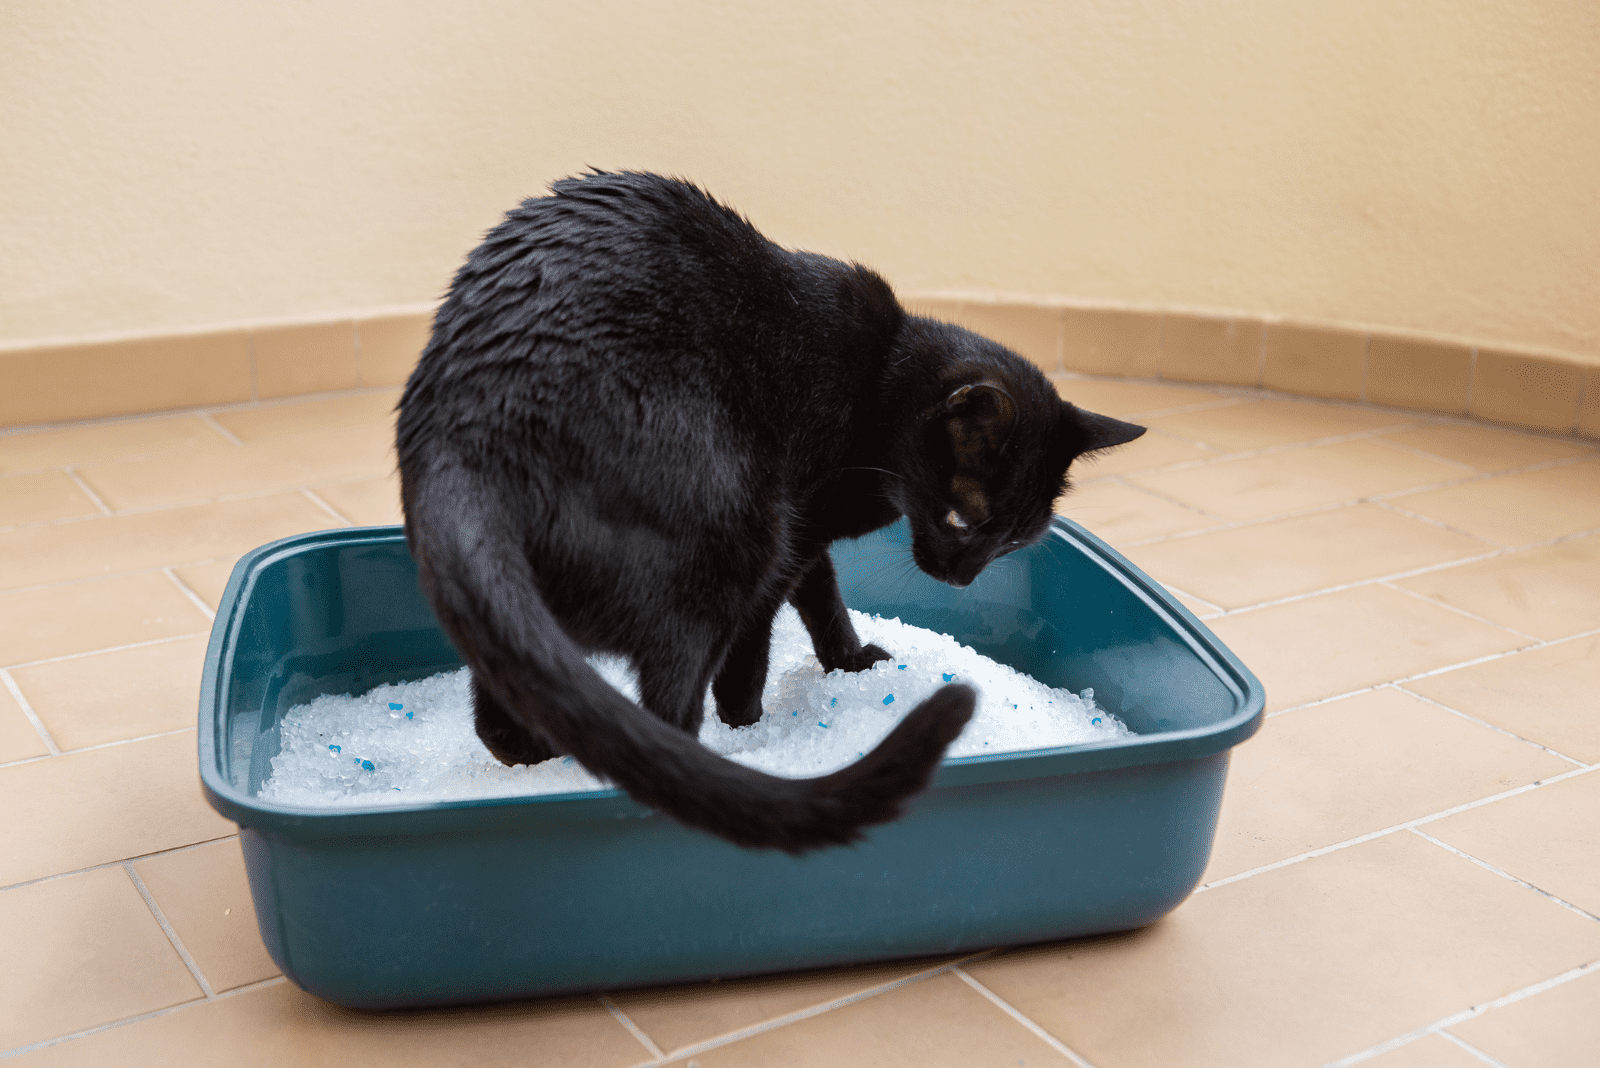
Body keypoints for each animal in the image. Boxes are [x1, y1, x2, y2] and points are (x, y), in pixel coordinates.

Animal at [400, 173, 1152, 850]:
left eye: (1013, 543)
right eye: (964, 519)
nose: (962, 578)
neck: (879, 385)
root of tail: (469, 434)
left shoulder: (807, 535)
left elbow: (824, 600)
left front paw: (851, 664)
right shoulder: (790, 534)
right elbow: (760, 641)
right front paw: (752, 723)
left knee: (501, 718)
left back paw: (540, 762)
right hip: (735, 539)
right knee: (671, 709)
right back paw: (725, 767)